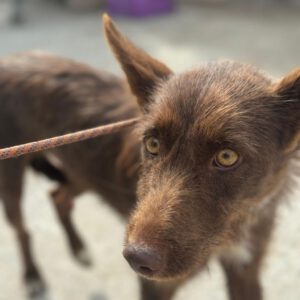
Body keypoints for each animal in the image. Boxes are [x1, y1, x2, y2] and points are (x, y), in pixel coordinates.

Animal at [0, 15, 300, 300]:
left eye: (227, 156)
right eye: (153, 144)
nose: (136, 258)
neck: (237, 224)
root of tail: (10, 60)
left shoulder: (245, 270)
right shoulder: (157, 286)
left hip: (84, 171)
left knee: (58, 196)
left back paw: (78, 249)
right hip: (15, 180)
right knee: (22, 228)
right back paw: (33, 276)